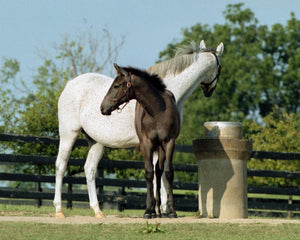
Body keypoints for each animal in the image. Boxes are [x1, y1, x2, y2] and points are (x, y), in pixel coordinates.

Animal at [53, 40, 223, 218]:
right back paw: (59, 210)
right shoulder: (152, 143)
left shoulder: (162, 143)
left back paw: (97, 210)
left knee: (90, 169)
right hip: (68, 134)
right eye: (219, 67)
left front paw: (161, 210)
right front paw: (161, 209)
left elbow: (159, 172)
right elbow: (157, 174)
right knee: (61, 166)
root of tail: (69, 85)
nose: (209, 91)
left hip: (95, 141)